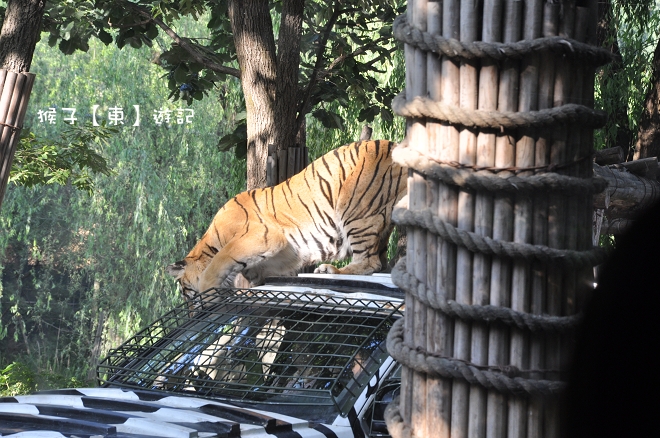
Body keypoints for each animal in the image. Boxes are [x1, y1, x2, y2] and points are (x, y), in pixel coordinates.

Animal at [168, 140, 404, 304]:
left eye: (186, 292)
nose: (191, 313)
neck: (212, 241)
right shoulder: (286, 253)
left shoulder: (261, 236)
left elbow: (220, 261)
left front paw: (209, 293)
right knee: (381, 262)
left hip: (356, 209)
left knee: (370, 262)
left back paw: (330, 271)